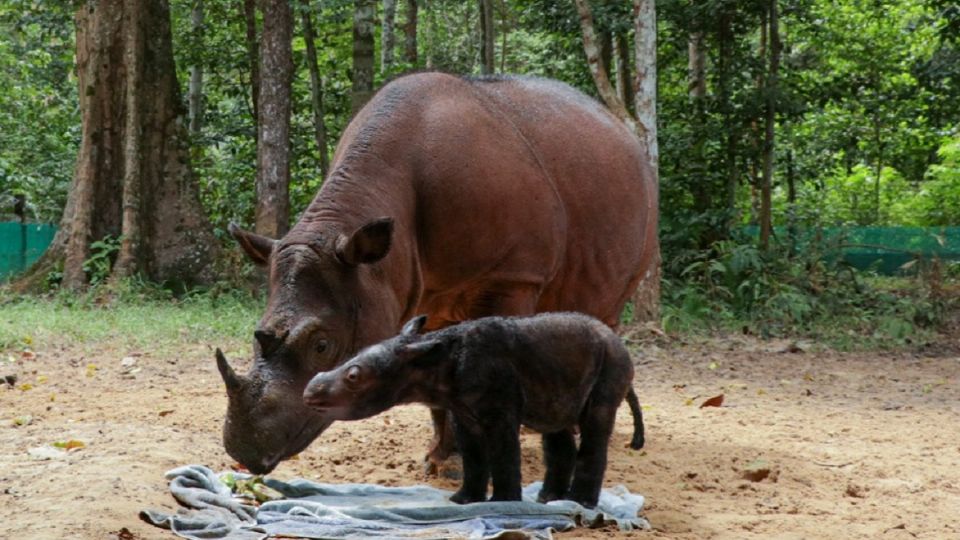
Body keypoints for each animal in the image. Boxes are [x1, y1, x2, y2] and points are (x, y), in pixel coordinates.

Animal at [304, 310, 640, 508]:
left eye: (353, 376)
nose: (309, 390)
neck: (431, 362)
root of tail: (617, 338)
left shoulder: (500, 408)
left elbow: (503, 453)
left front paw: (504, 505)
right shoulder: (461, 410)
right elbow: (473, 456)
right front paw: (462, 501)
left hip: (614, 360)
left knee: (596, 422)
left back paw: (580, 504)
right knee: (554, 424)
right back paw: (548, 500)